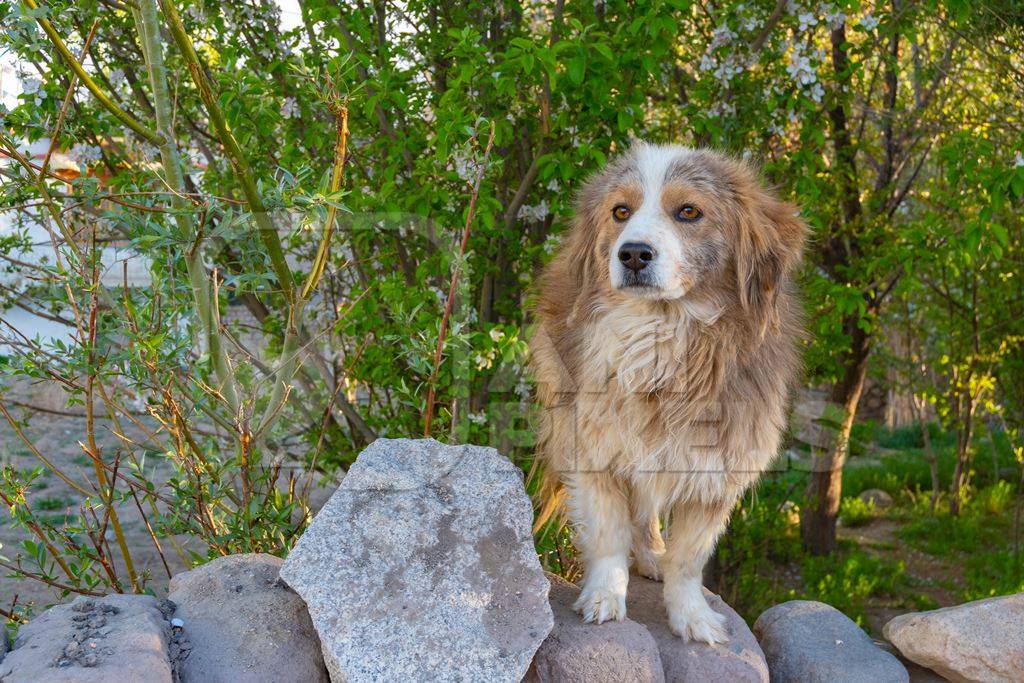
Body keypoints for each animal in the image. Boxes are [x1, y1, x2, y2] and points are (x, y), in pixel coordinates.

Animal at [532, 141, 802, 643]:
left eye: (689, 211)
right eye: (620, 211)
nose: (633, 254)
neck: (662, 333)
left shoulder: (718, 470)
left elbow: (688, 560)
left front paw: (691, 617)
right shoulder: (596, 447)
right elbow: (609, 536)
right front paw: (604, 597)